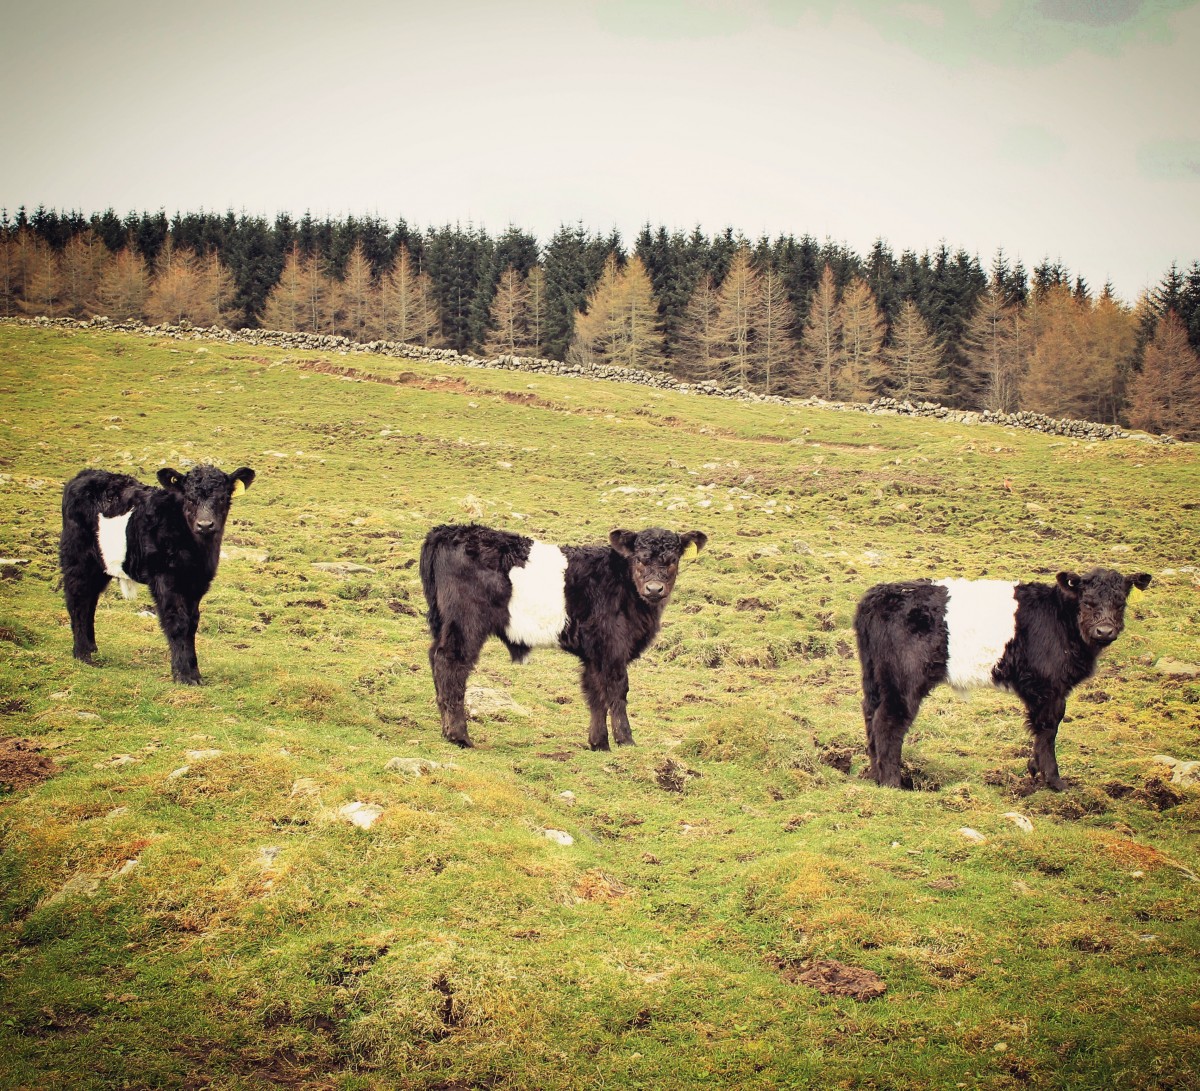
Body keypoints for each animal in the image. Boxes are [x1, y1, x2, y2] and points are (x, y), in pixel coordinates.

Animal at [60, 464, 255, 684]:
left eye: (222, 498)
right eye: (189, 498)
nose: (205, 524)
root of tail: (85, 474)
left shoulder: (197, 582)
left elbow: (192, 623)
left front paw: (195, 673)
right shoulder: (165, 578)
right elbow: (178, 622)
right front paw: (183, 675)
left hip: (99, 565)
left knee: (90, 600)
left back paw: (92, 647)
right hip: (77, 555)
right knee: (77, 598)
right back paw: (82, 654)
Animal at [419, 523, 707, 749]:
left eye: (673, 560)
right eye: (639, 559)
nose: (654, 589)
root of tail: (447, 531)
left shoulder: (594, 653)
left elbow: (595, 694)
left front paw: (598, 743)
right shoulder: (612, 646)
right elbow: (617, 690)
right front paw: (625, 740)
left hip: (444, 624)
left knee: (435, 657)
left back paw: (446, 730)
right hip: (466, 623)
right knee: (451, 664)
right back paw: (459, 736)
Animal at [853, 568, 1152, 790]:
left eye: (1121, 602)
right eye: (1087, 602)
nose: (1105, 630)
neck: (1061, 618)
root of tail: (878, 595)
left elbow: (1040, 730)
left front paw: (1035, 770)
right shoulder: (1050, 687)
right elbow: (1048, 729)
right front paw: (1054, 781)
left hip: (874, 676)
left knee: (870, 714)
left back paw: (875, 775)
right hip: (904, 679)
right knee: (889, 721)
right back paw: (893, 782)